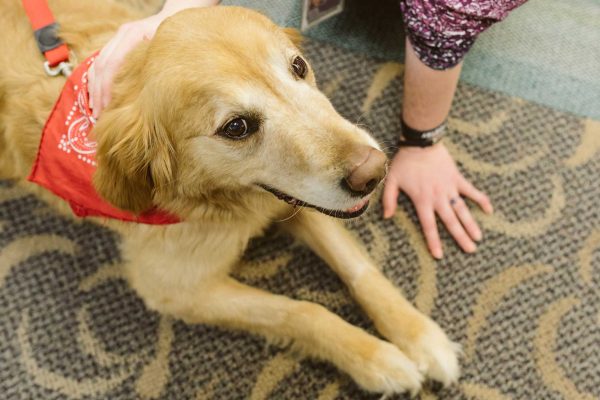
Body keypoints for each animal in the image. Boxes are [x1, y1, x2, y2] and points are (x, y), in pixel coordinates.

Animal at [0, 0, 460, 394]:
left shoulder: (293, 201)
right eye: (236, 127)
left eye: (298, 66)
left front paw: (421, 335)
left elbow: (359, 268)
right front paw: (378, 359)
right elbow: (302, 311)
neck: (224, 201)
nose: (374, 171)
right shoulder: (175, 289)